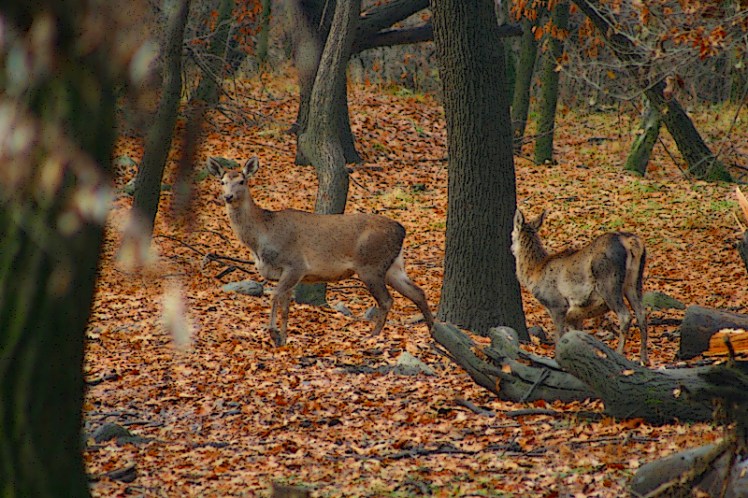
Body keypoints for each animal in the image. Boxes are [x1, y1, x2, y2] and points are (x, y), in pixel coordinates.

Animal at [207, 156, 434, 347]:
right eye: (222, 181)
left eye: (242, 181)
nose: (228, 196)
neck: (262, 239)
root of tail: (402, 229)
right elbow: (286, 306)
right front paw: (283, 338)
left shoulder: (295, 264)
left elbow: (275, 296)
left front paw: (273, 334)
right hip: (393, 266)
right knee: (418, 292)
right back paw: (433, 330)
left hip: (371, 264)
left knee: (387, 300)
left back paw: (372, 336)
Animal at [511, 209, 649, 365]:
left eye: (512, 235)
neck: (534, 273)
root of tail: (631, 242)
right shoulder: (576, 314)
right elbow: (578, 337)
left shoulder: (557, 304)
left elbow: (559, 337)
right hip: (634, 282)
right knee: (641, 313)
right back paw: (643, 359)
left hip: (609, 283)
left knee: (625, 316)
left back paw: (619, 355)